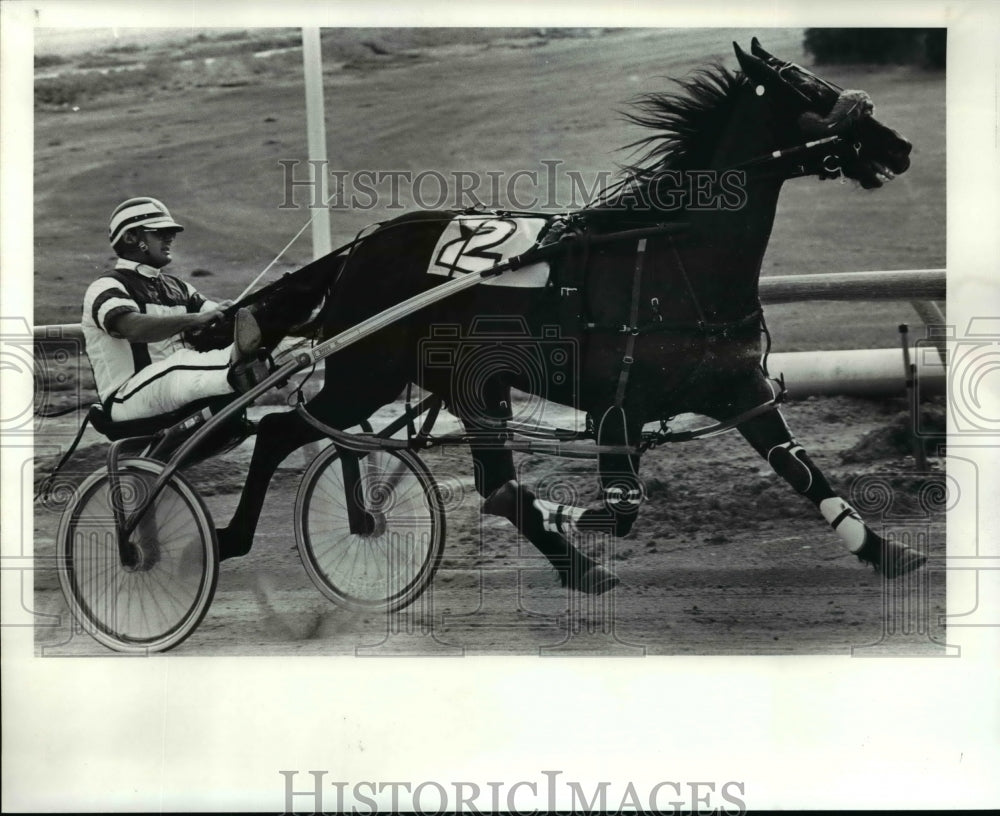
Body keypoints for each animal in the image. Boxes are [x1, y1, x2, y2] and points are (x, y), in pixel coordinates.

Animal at [215, 41, 924, 592]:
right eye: (808, 88)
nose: (901, 145)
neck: (676, 260)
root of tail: (359, 250)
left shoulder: (738, 387)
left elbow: (801, 470)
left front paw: (887, 552)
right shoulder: (618, 409)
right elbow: (618, 508)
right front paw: (570, 521)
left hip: (465, 384)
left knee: (478, 478)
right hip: (372, 374)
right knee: (280, 430)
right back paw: (231, 537)